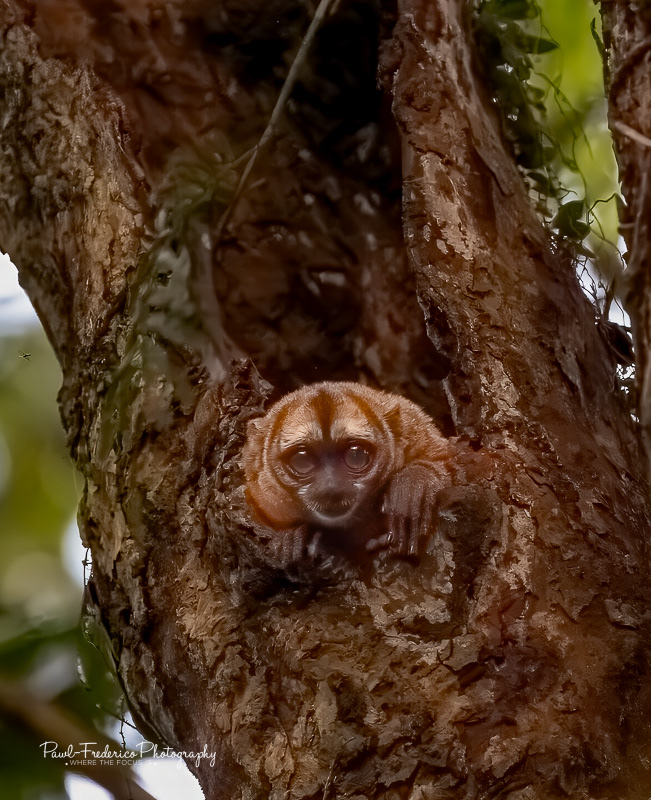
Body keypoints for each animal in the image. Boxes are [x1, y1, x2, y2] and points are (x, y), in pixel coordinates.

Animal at [242, 381, 453, 564]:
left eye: (356, 455)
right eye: (301, 460)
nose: (331, 487)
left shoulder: (413, 426)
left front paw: (412, 489)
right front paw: (290, 536)